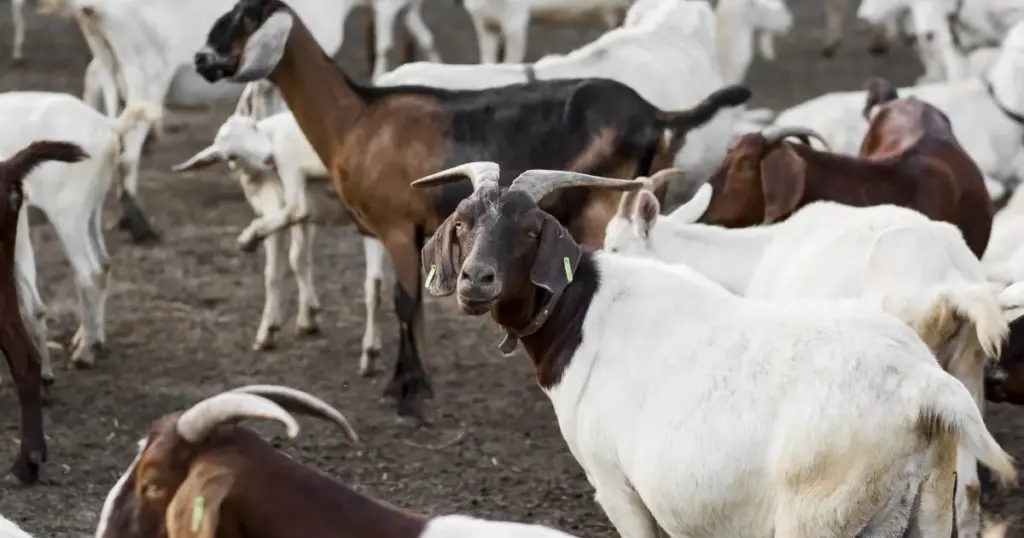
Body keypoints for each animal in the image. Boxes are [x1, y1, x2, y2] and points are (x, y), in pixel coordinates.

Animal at [0, 92, 162, 375]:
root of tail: (109, 126)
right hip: (91, 211)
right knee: (103, 265)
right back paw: (91, 339)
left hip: (68, 214)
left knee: (88, 273)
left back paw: (84, 353)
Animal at [171, 113, 388, 367]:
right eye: (231, 156)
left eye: (253, 126)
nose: (267, 158)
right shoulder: (307, 218)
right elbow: (299, 258)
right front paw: (308, 317)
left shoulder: (273, 203)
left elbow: (273, 271)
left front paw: (268, 331)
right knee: (375, 283)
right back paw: (370, 353)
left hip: (294, 161)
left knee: (297, 208)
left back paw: (248, 237)